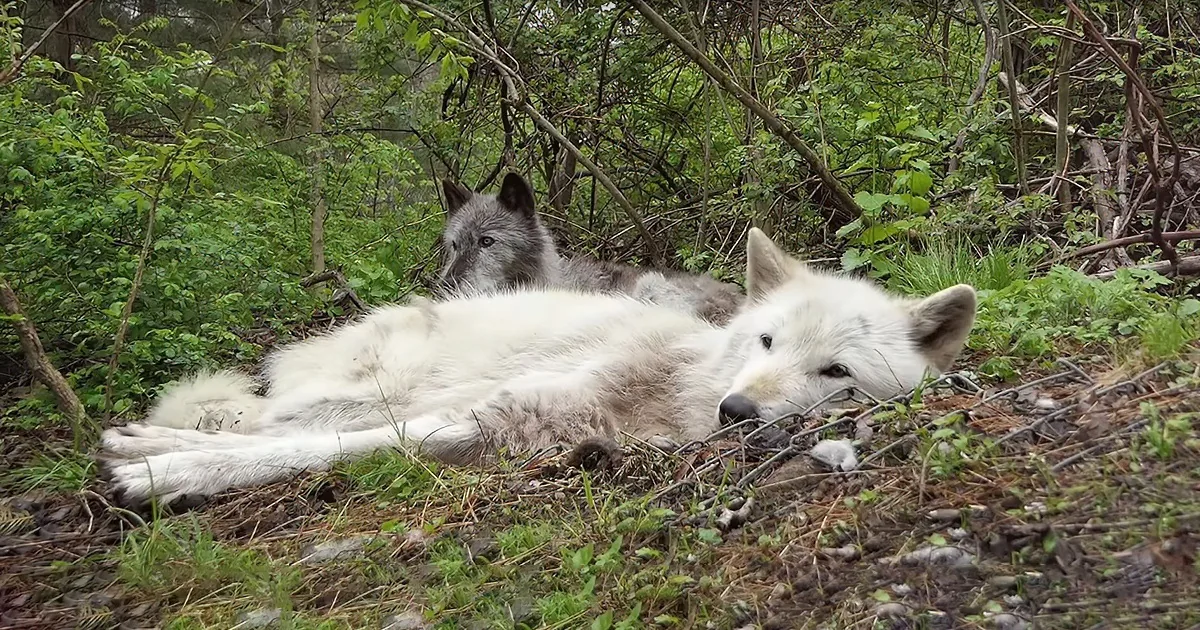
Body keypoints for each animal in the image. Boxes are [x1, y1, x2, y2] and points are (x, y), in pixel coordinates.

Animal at [98, 228, 977, 505]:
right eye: (765, 344)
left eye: (836, 373)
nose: (736, 413)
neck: (674, 390)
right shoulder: (488, 408)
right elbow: (307, 452)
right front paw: (162, 472)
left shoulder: (505, 429)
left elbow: (325, 453)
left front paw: (164, 470)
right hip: (369, 386)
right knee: (269, 422)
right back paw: (152, 440)